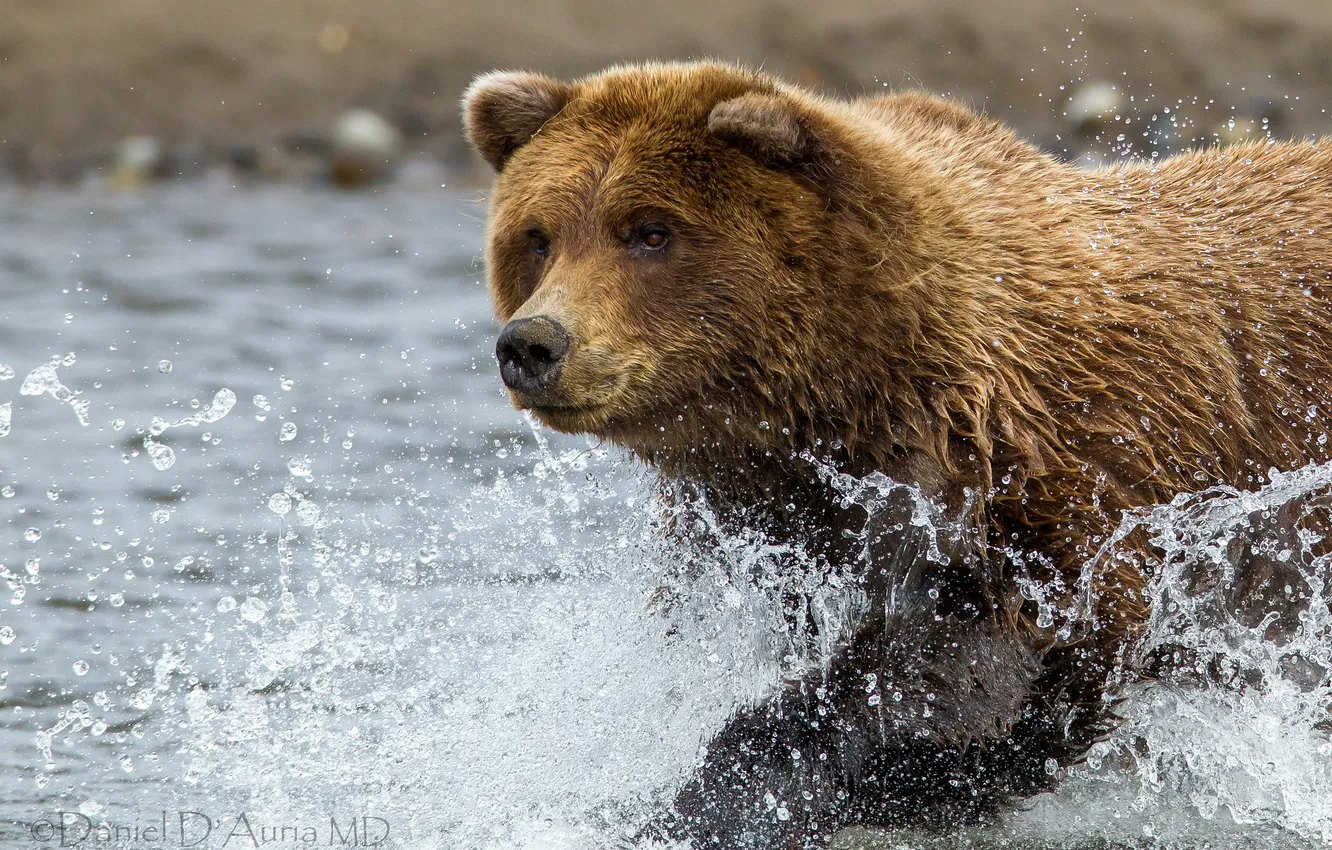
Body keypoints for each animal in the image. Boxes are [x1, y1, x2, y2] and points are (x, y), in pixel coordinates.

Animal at [463, 63, 1332, 847]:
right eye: (538, 237)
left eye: (650, 231)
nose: (533, 343)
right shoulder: (761, 519)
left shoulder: (1064, 469)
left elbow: (999, 647)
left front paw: (713, 796)